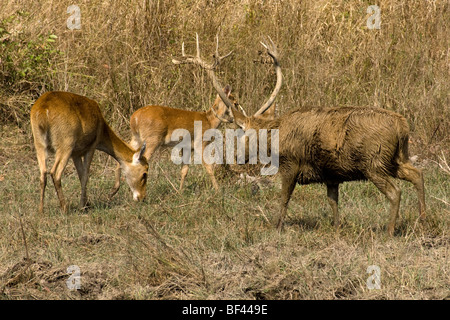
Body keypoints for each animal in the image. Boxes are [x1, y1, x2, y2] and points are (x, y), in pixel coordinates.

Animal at [173, 35, 426, 235]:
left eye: (243, 133)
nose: (235, 159)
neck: (274, 139)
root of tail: (402, 127)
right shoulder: (331, 175)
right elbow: (333, 202)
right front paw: (336, 228)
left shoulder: (291, 163)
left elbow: (284, 198)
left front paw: (276, 226)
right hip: (396, 158)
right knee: (417, 174)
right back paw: (422, 219)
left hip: (373, 162)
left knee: (395, 191)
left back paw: (390, 230)